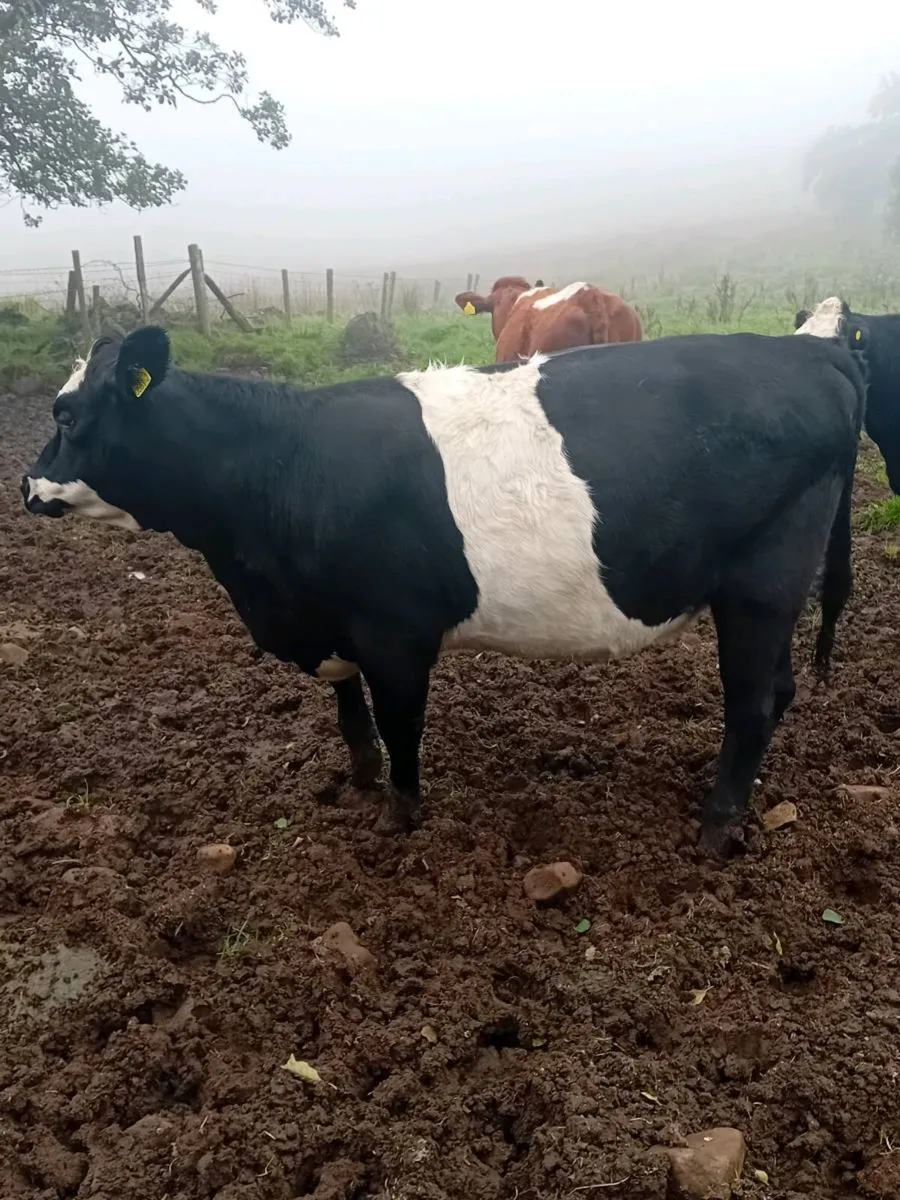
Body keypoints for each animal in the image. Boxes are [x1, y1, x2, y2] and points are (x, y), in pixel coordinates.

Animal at [22, 301, 864, 858]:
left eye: (66, 416)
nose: (27, 485)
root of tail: (807, 351)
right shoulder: (332, 618)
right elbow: (348, 708)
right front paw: (359, 778)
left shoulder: (394, 632)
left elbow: (400, 723)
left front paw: (399, 816)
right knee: (779, 689)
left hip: (762, 585)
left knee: (750, 701)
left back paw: (718, 826)